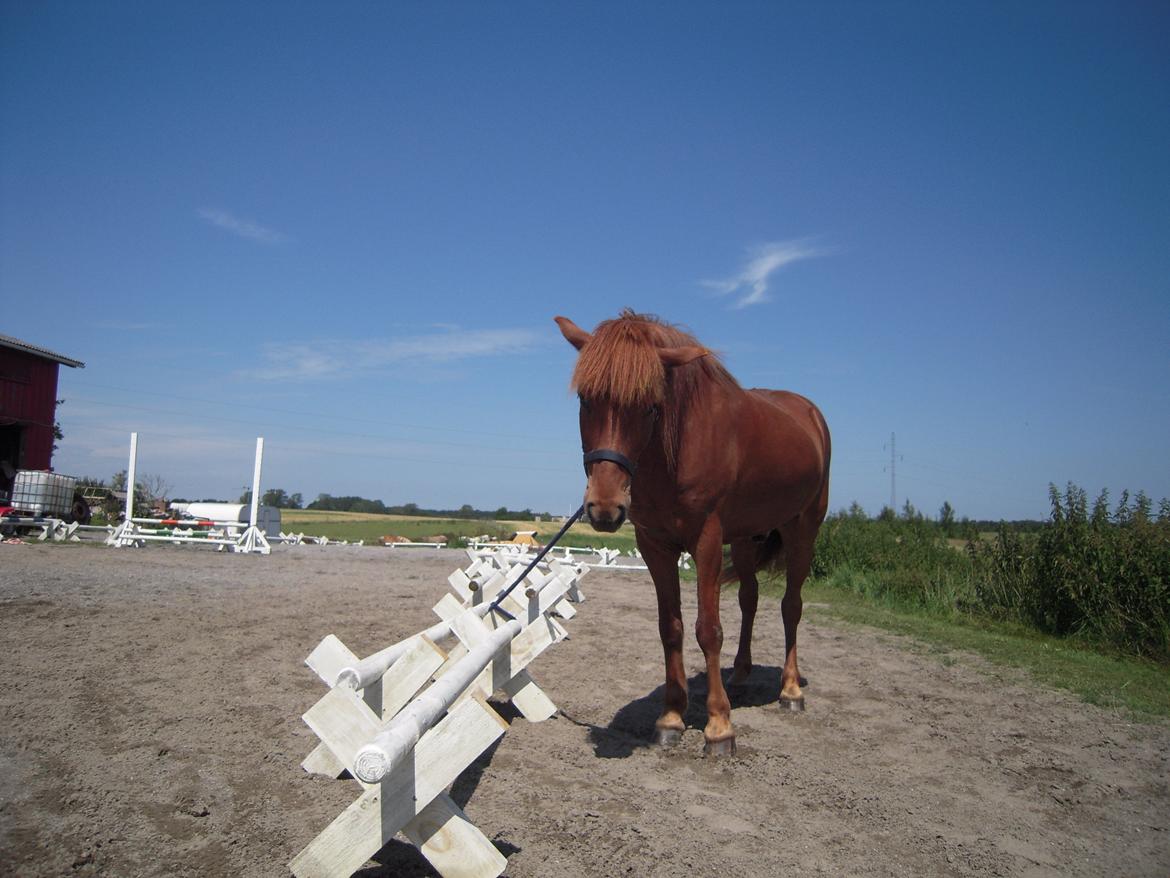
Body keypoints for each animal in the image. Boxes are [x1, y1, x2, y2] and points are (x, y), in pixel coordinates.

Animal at [556, 311, 833, 758]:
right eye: (585, 399)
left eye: (650, 405)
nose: (604, 507)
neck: (677, 450)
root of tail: (810, 414)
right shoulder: (655, 545)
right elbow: (671, 628)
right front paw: (671, 716)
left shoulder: (706, 541)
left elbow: (708, 630)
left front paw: (719, 726)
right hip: (746, 537)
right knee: (750, 598)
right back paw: (740, 674)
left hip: (803, 530)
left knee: (791, 606)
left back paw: (790, 690)